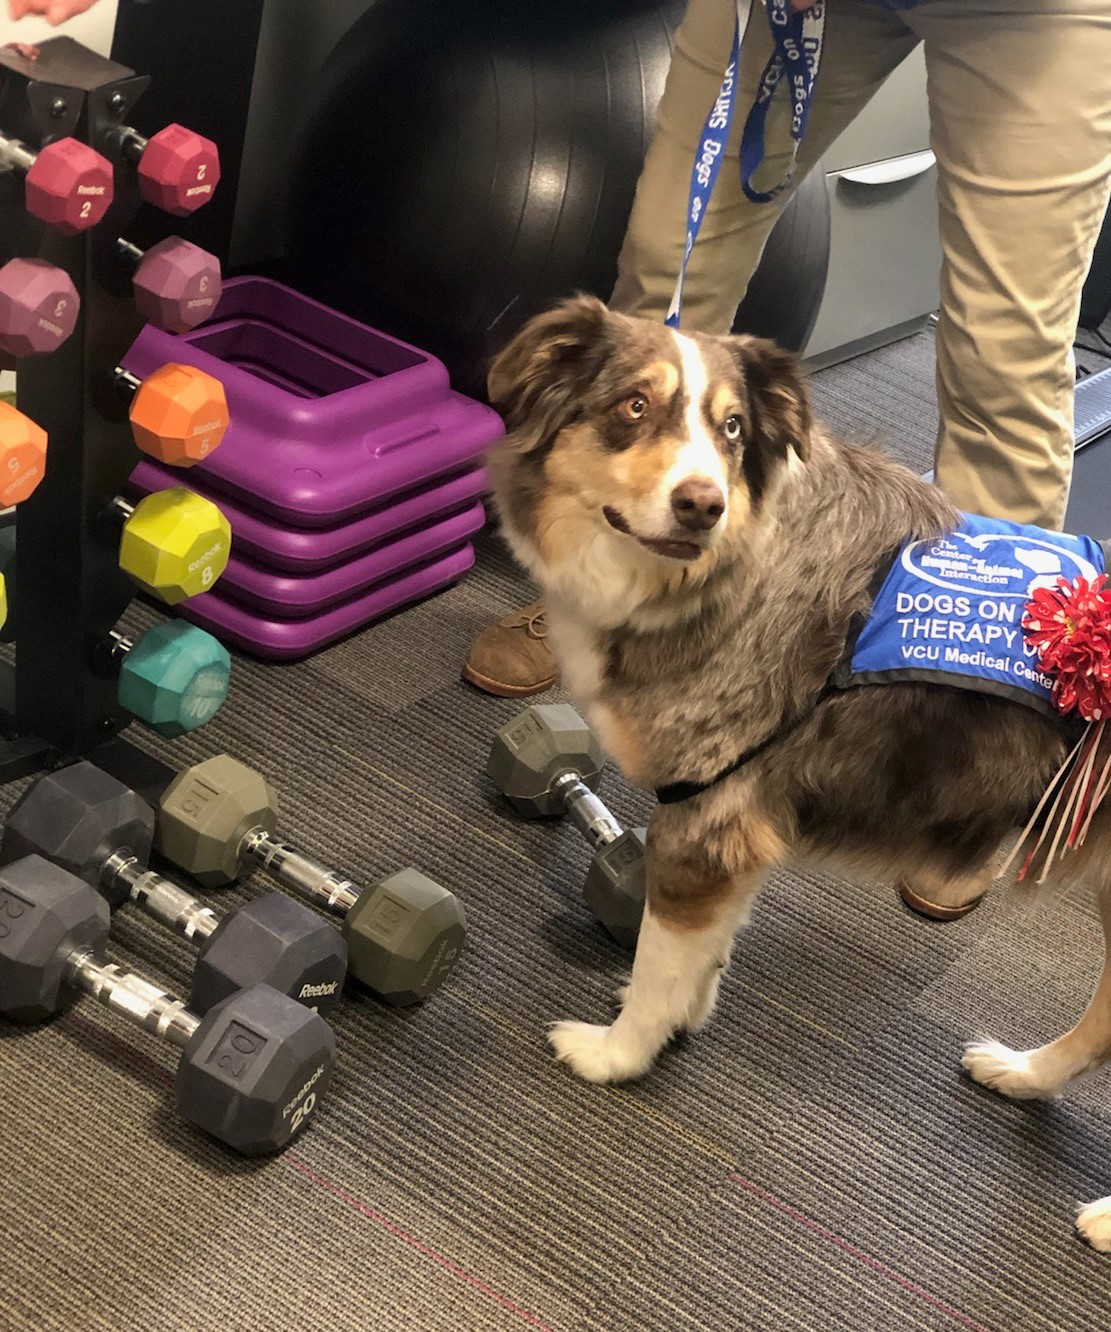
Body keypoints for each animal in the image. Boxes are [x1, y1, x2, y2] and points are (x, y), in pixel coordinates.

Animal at [490, 291, 1108, 1246]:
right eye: (633, 405)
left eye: (732, 429)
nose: (700, 505)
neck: (726, 568)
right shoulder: (730, 822)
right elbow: (702, 953)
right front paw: (688, 1015)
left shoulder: (702, 817)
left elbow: (657, 964)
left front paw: (619, 1053)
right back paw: (1020, 1073)